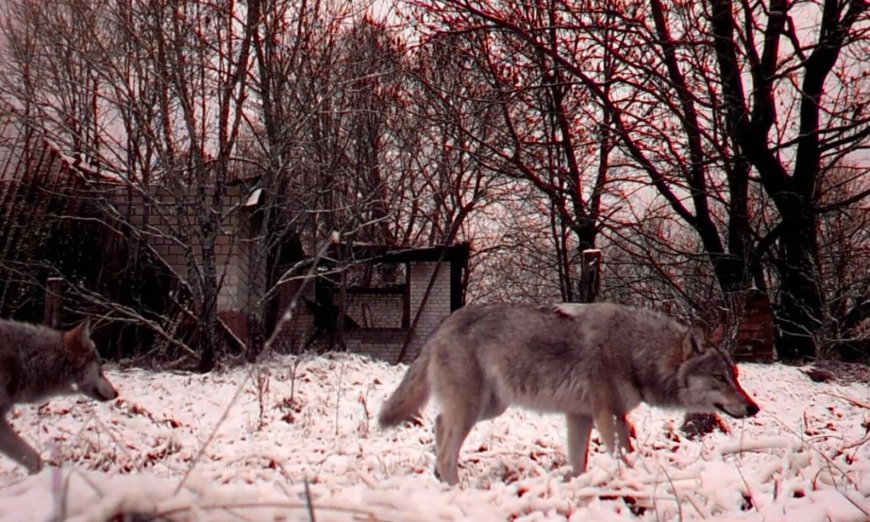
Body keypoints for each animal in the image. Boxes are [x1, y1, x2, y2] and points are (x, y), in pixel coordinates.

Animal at [378, 302, 759, 485]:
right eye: (719, 378)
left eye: (735, 376)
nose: (753, 408)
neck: (634, 350)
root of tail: (442, 326)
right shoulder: (607, 415)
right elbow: (621, 454)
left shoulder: (581, 416)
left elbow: (579, 463)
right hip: (474, 410)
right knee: (446, 448)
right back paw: (455, 490)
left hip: (490, 408)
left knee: (438, 424)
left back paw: (438, 478)